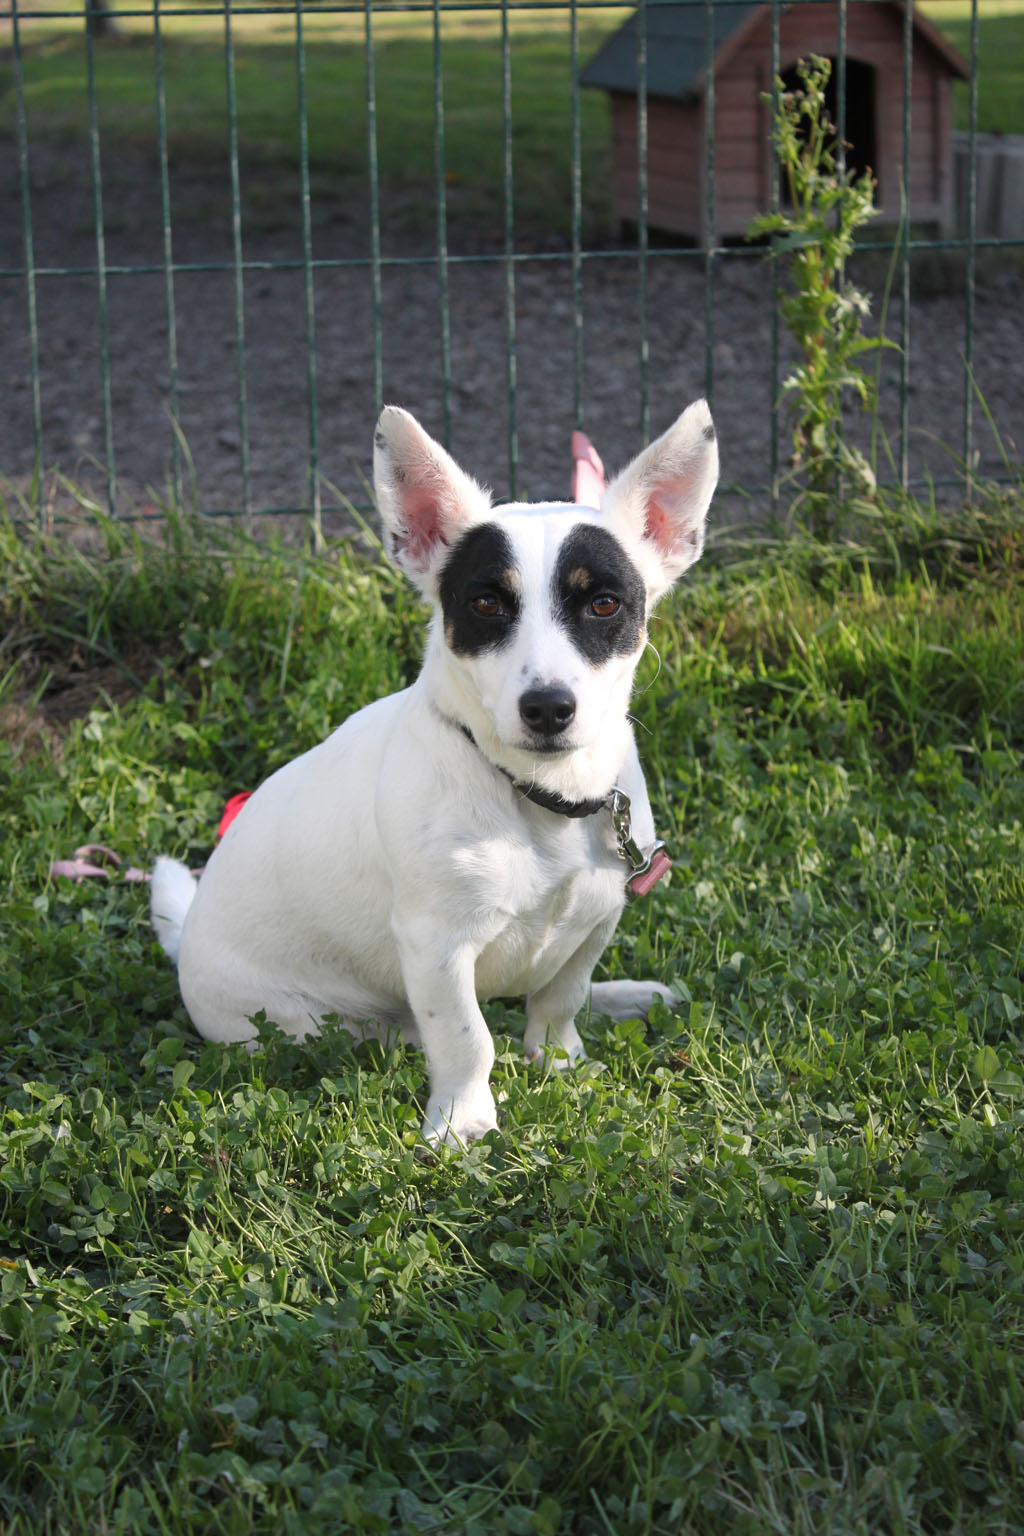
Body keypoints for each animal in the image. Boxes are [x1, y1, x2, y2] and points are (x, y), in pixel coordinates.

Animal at [151, 402, 718, 1148]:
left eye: (603, 605)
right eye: (485, 605)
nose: (547, 708)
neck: (541, 798)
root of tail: (185, 941)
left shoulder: (596, 918)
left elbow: (559, 998)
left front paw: (559, 1060)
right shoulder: (437, 946)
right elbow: (466, 1036)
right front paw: (463, 1119)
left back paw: (622, 998)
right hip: (309, 1023)